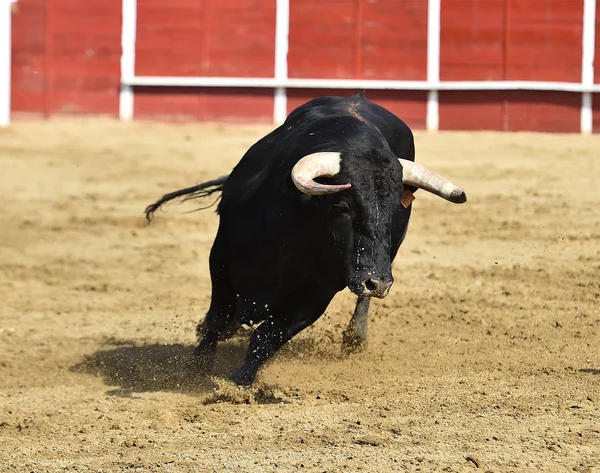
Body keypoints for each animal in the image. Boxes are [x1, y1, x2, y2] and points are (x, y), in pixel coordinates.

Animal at [146, 94, 468, 386]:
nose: (377, 283)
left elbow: (269, 334)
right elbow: (218, 319)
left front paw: (239, 382)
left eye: (393, 211)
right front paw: (196, 368)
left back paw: (355, 337)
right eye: (343, 207)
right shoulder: (222, 260)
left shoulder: (319, 290)